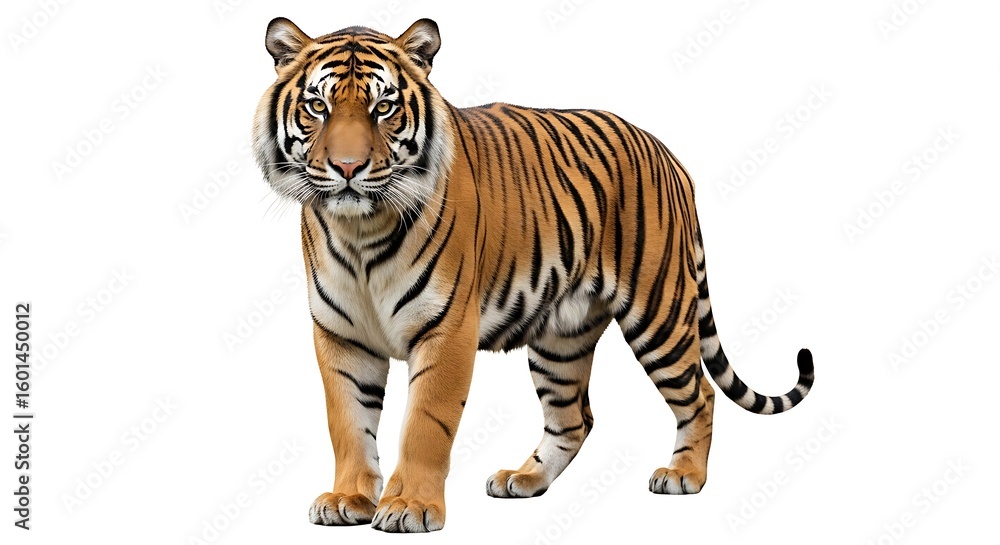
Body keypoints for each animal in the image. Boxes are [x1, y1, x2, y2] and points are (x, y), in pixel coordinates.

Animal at [252, 17, 814, 533]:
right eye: (318, 106)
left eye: (383, 108)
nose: (348, 168)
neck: (360, 230)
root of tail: (668, 155)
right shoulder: (340, 335)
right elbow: (347, 422)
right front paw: (347, 499)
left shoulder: (446, 330)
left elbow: (425, 424)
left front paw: (409, 506)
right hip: (562, 337)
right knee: (574, 418)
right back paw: (524, 479)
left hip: (659, 313)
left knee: (699, 394)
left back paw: (684, 475)